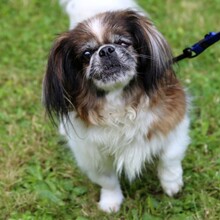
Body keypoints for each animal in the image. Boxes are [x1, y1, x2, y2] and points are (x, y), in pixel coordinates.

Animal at [42, 0, 189, 213]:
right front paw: (110, 202)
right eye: (87, 54)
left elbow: (169, 157)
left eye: (122, 43)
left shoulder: (174, 121)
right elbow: (107, 180)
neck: (120, 100)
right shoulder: (91, 154)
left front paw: (172, 184)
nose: (105, 50)